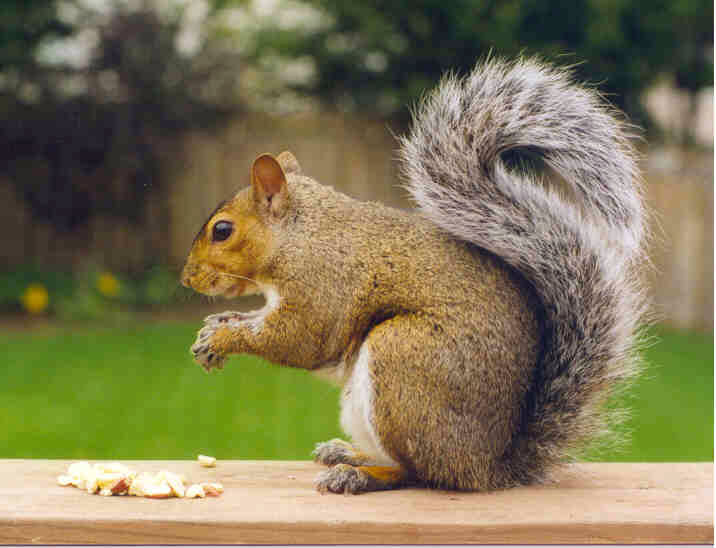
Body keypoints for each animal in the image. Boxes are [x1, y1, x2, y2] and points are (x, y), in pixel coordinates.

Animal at [181, 57, 648, 494]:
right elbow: (254, 320)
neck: (300, 235)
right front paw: (214, 328)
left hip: (401, 359)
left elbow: (295, 340)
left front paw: (224, 336)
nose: (187, 279)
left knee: (417, 472)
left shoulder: (320, 288)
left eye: (222, 230)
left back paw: (358, 475)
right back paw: (348, 453)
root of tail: (488, 466)